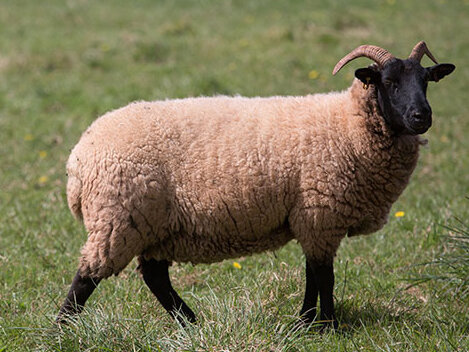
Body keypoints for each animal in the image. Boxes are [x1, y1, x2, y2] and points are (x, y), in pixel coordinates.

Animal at [55, 42, 454, 328]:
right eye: (389, 83)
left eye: (426, 81)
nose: (422, 116)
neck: (348, 125)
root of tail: (77, 160)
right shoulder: (319, 214)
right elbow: (323, 275)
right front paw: (325, 325)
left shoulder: (311, 218)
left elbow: (313, 273)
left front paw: (307, 323)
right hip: (119, 217)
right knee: (87, 276)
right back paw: (62, 329)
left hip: (154, 224)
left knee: (154, 277)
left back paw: (190, 323)